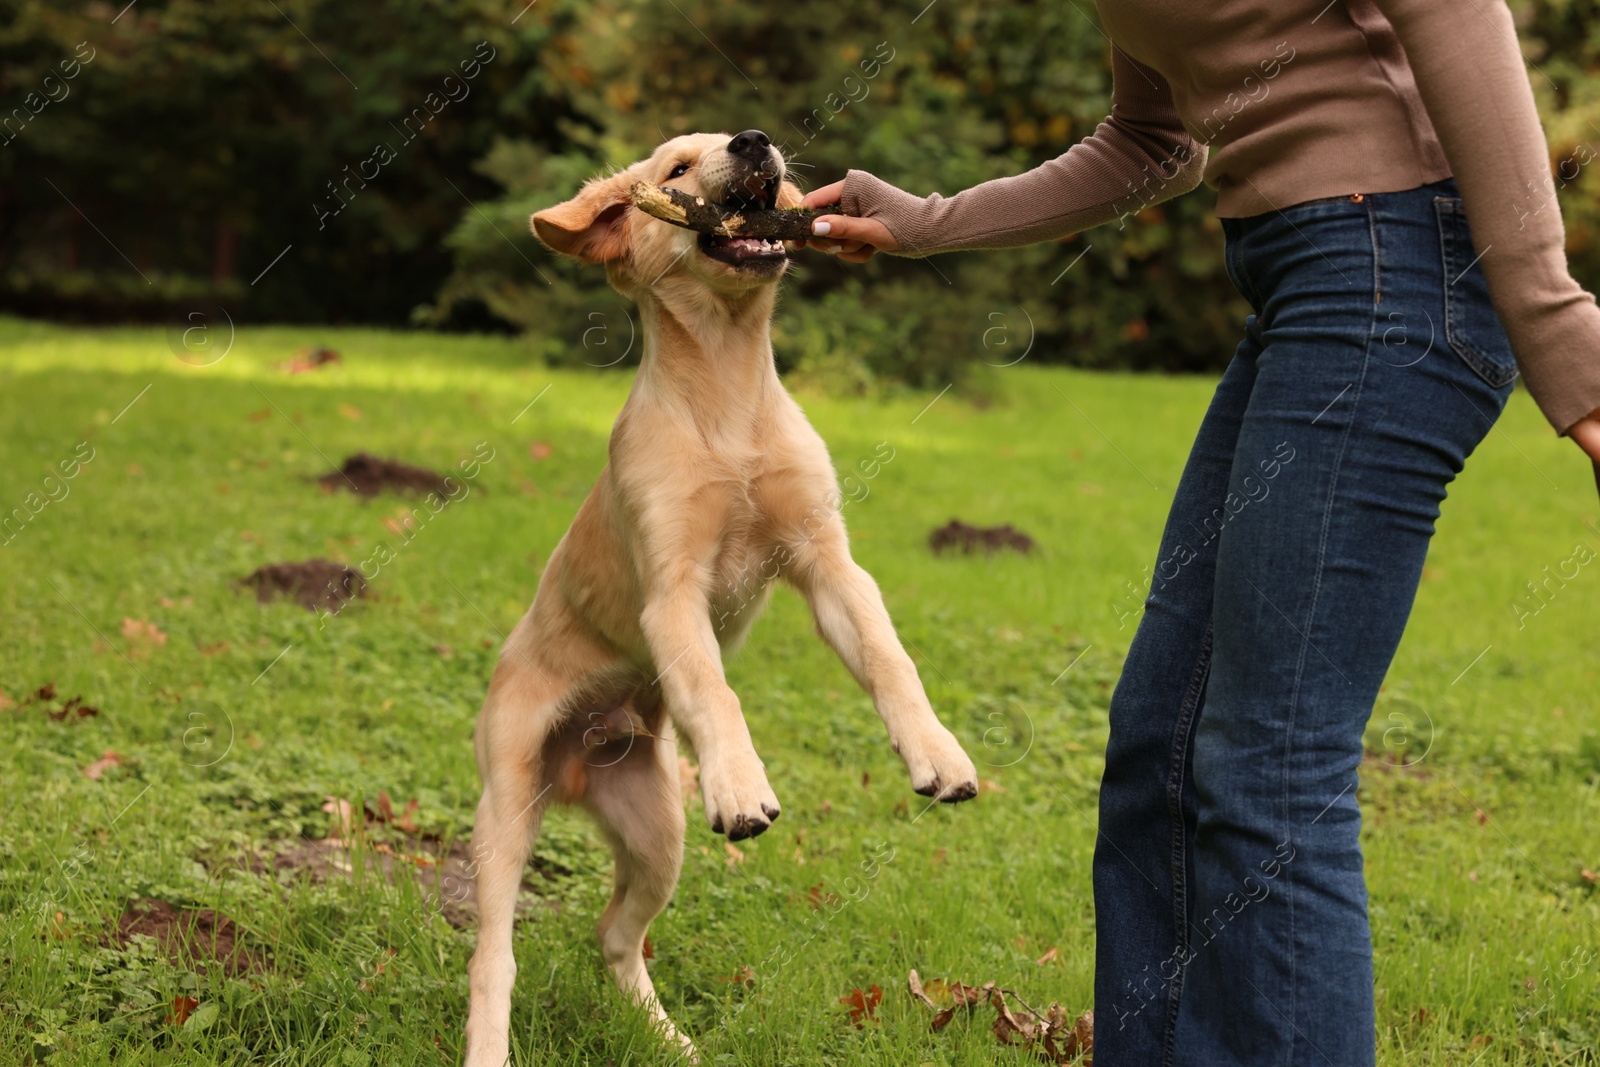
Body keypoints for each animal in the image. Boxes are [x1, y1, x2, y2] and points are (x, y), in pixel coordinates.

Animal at [464, 131, 979, 1062]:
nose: (753, 143)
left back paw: (669, 1040)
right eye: (673, 168)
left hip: (656, 825)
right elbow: (714, 689)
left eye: (742, 140)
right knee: (495, 956)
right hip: (507, 803)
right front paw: (741, 785)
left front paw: (938, 754)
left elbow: (891, 659)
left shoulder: (828, 561)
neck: (729, 398)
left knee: (614, 934)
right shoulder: (671, 591)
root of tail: (575, 766)